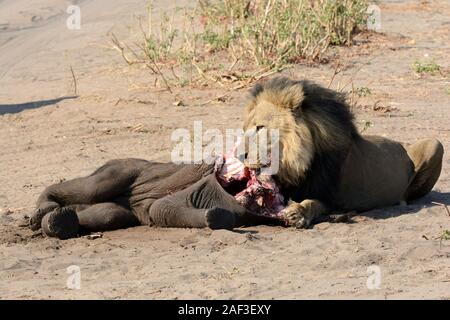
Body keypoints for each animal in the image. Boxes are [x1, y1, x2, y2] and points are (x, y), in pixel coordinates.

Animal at [241, 77, 444, 228]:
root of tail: (400, 146)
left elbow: (312, 203)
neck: (296, 164)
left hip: (436, 144)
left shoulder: (332, 199)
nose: (240, 155)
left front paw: (297, 213)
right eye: (244, 129)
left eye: (260, 127)